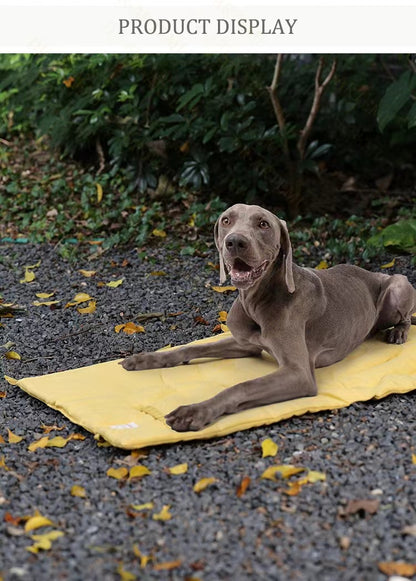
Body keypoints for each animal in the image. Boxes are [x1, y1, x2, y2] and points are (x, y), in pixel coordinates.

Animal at [121, 204, 416, 430]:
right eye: (226, 220)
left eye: (263, 224)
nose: (234, 241)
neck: (257, 301)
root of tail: (374, 272)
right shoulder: (245, 345)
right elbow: (191, 348)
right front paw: (145, 359)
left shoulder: (298, 373)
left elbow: (241, 387)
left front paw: (196, 411)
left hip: (398, 284)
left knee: (405, 316)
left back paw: (398, 332)